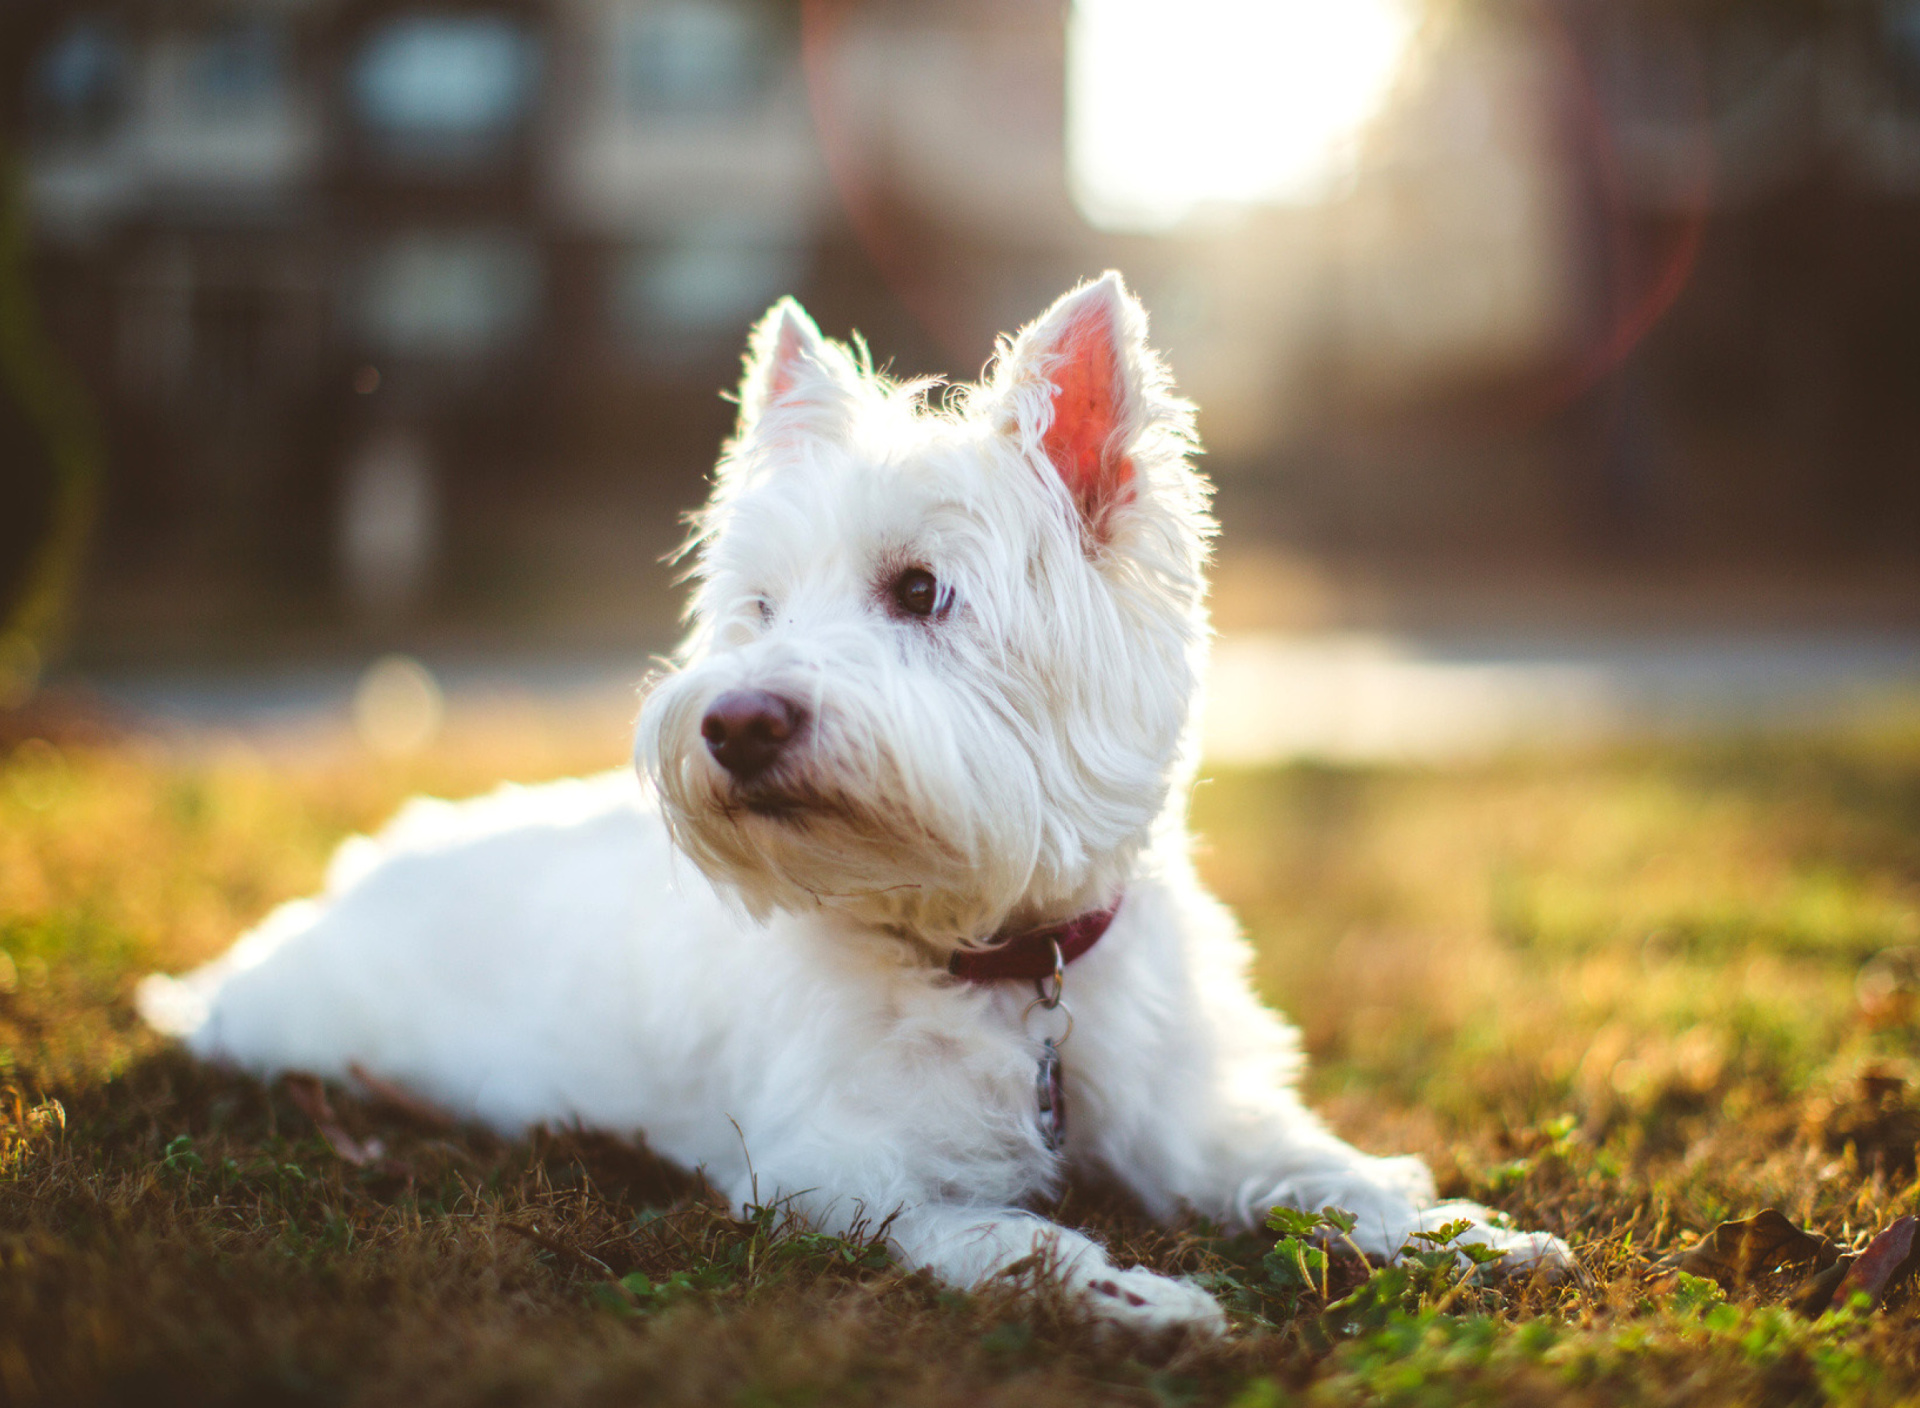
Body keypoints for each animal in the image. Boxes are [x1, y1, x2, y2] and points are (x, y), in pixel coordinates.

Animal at [142, 272, 1566, 1329]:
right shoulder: (835, 1174)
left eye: (920, 590)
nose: (734, 722)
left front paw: (1462, 1231)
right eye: (760, 607)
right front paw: (1134, 1294)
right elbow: (1004, 1231)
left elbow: (1317, 1168)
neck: (1002, 962)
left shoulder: (1195, 1116)